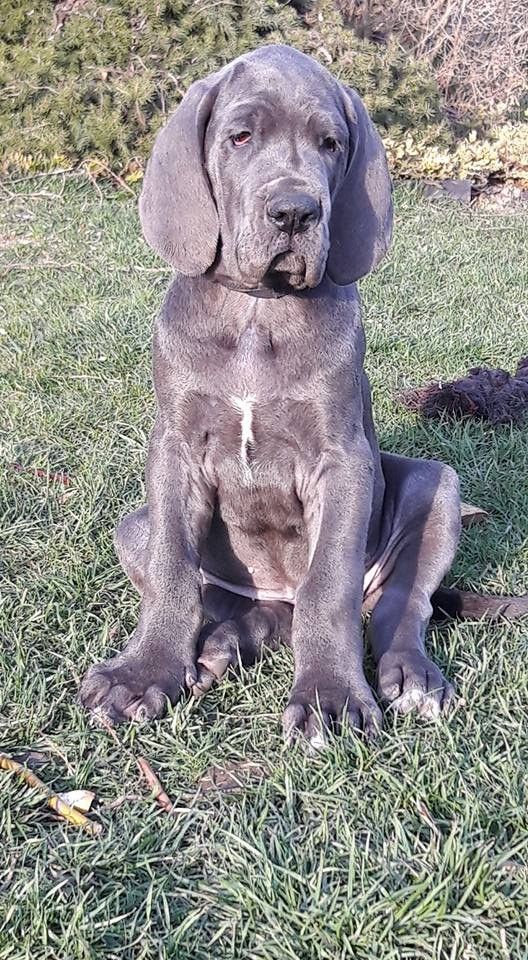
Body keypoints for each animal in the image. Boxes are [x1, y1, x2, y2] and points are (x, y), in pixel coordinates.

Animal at [80, 45, 481, 746]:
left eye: (330, 143)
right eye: (240, 136)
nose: (295, 212)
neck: (257, 311)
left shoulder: (341, 461)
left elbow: (329, 587)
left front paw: (330, 698)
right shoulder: (174, 451)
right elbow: (173, 573)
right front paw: (144, 673)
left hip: (439, 484)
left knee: (401, 606)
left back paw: (411, 677)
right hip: (134, 528)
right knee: (247, 611)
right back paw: (220, 647)